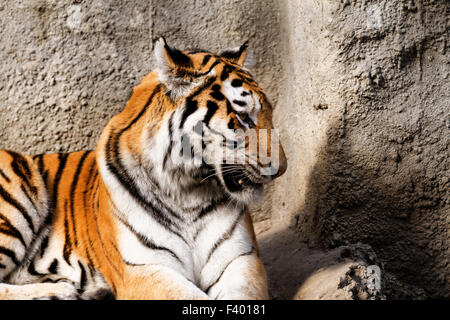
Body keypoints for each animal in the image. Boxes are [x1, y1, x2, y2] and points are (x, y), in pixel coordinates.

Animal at [0, 38, 288, 300]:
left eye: (271, 114)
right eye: (243, 117)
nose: (282, 169)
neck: (187, 191)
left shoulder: (240, 259)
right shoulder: (144, 268)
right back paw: (61, 291)